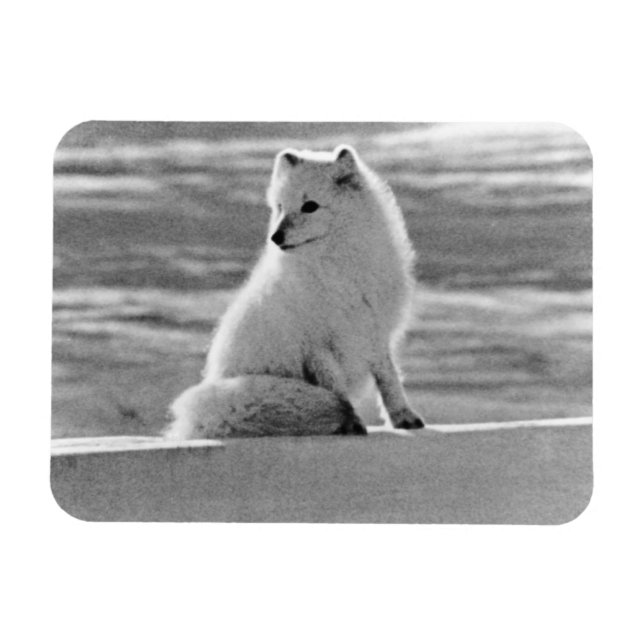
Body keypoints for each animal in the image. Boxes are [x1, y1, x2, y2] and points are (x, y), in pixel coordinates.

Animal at [167, 144, 425, 438]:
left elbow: (389, 379)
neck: (337, 269)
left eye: (309, 206)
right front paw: (352, 423)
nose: (275, 238)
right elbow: (338, 391)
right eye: (280, 207)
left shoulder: (375, 331)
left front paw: (404, 417)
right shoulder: (317, 346)